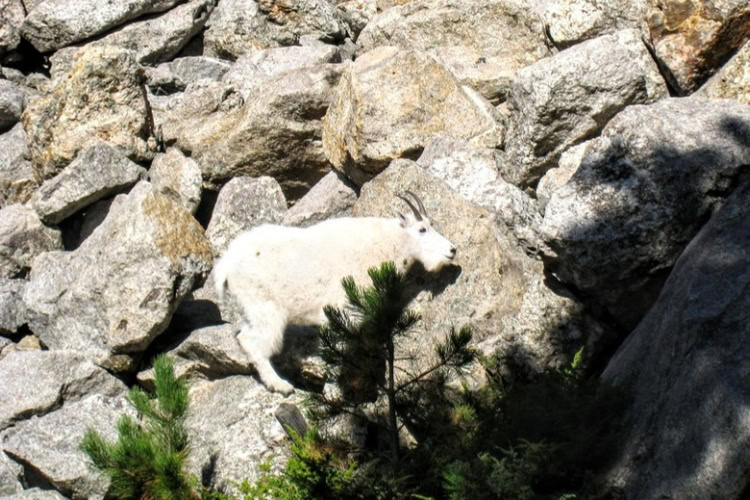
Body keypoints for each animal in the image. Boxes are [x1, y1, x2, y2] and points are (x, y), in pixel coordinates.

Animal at [214, 191, 456, 394]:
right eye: (422, 229)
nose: (452, 250)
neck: (386, 244)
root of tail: (226, 265)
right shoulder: (343, 309)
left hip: (252, 310)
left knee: (244, 337)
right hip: (266, 308)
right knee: (256, 344)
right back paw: (281, 385)